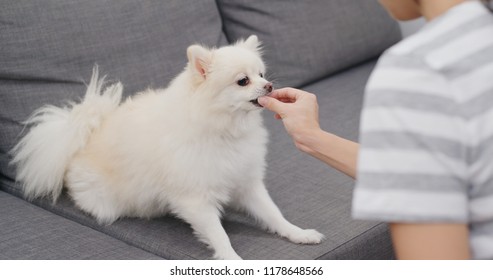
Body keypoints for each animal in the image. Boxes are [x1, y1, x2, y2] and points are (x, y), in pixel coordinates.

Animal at [10, 35, 322, 260]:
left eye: (262, 74)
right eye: (243, 81)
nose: (269, 86)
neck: (223, 129)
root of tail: (80, 142)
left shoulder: (246, 183)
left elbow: (273, 214)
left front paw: (298, 233)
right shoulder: (196, 198)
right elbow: (219, 234)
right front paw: (232, 261)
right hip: (106, 202)